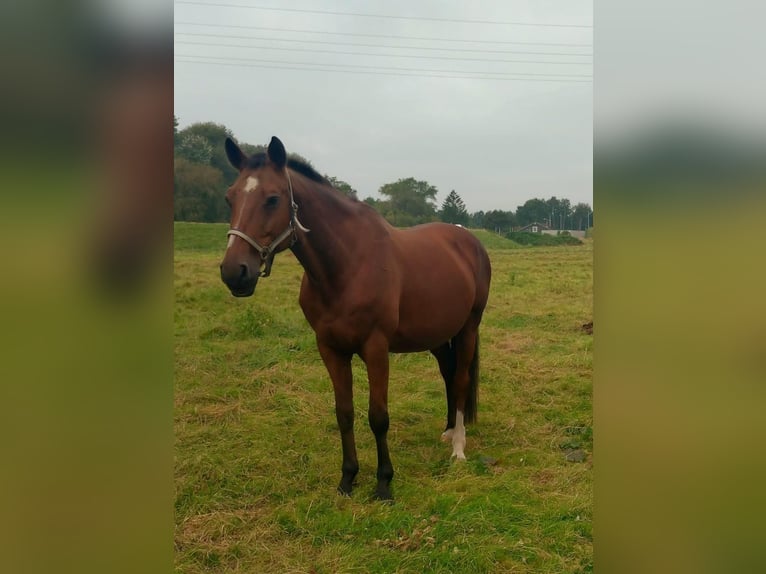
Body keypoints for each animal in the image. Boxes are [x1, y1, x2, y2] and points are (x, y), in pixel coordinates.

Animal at [219, 136, 491, 501]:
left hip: (468, 329)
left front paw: (384, 483)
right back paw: (449, 431)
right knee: (448, 375)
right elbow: (344, 413)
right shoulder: (331, 349)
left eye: (273, 198)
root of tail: (469, 239)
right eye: (230, 197)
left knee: (460, 379)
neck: (346, 264)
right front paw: (348, 478)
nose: (234, 272)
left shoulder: (375, 348)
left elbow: (378, 417)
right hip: (436, 334)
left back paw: (458, 447)